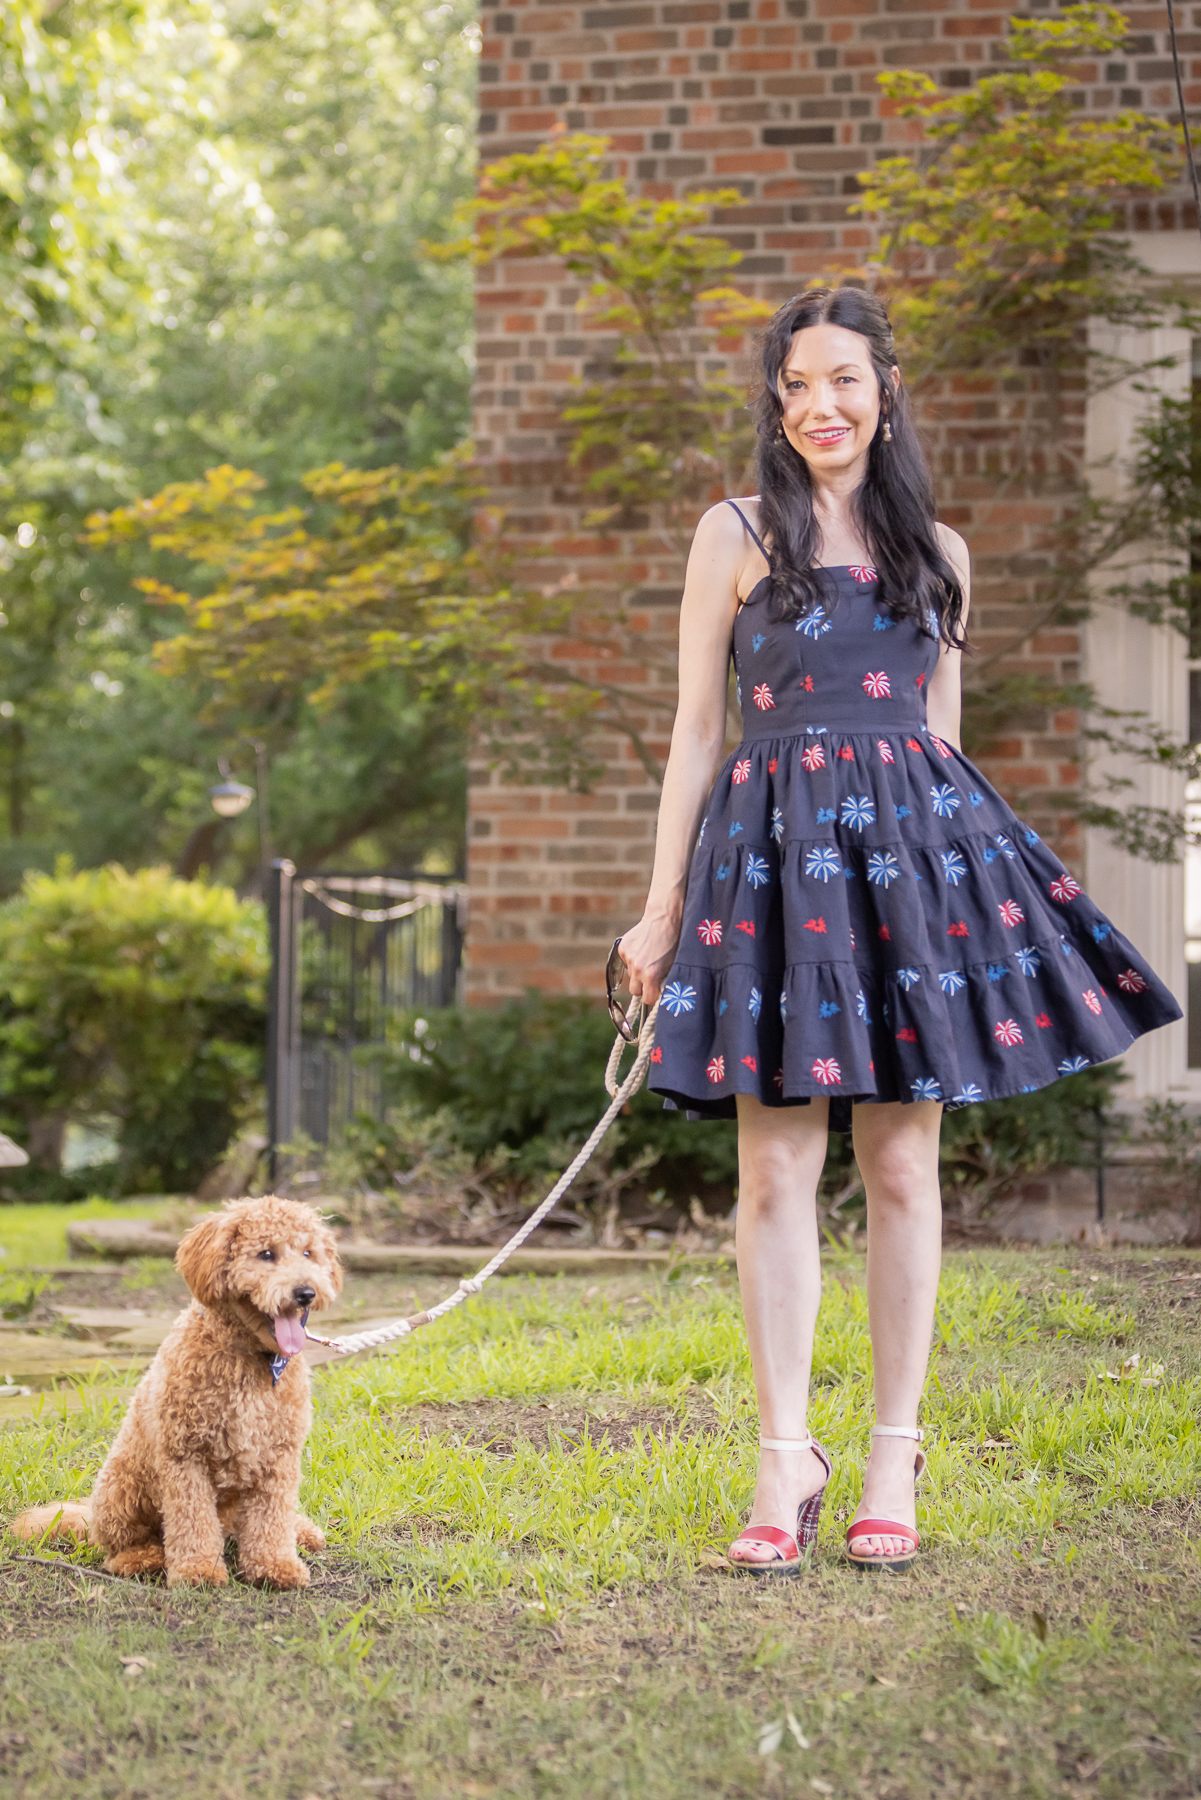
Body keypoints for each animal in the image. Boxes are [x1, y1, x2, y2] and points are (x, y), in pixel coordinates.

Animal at [12, 1195, 342, 1591]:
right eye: (266, 1254)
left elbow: (271, 1520)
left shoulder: (278, 1458)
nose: (306, 1292)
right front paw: (198, 1570)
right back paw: (144, 1558)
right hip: (123, 1488)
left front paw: (273, 1565)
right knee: (117, 1546)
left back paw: (301, 1530)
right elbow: (193, 1521)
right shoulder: (185, 1455)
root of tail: (89, 1513)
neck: (249, 1358)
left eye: (309, 1253)